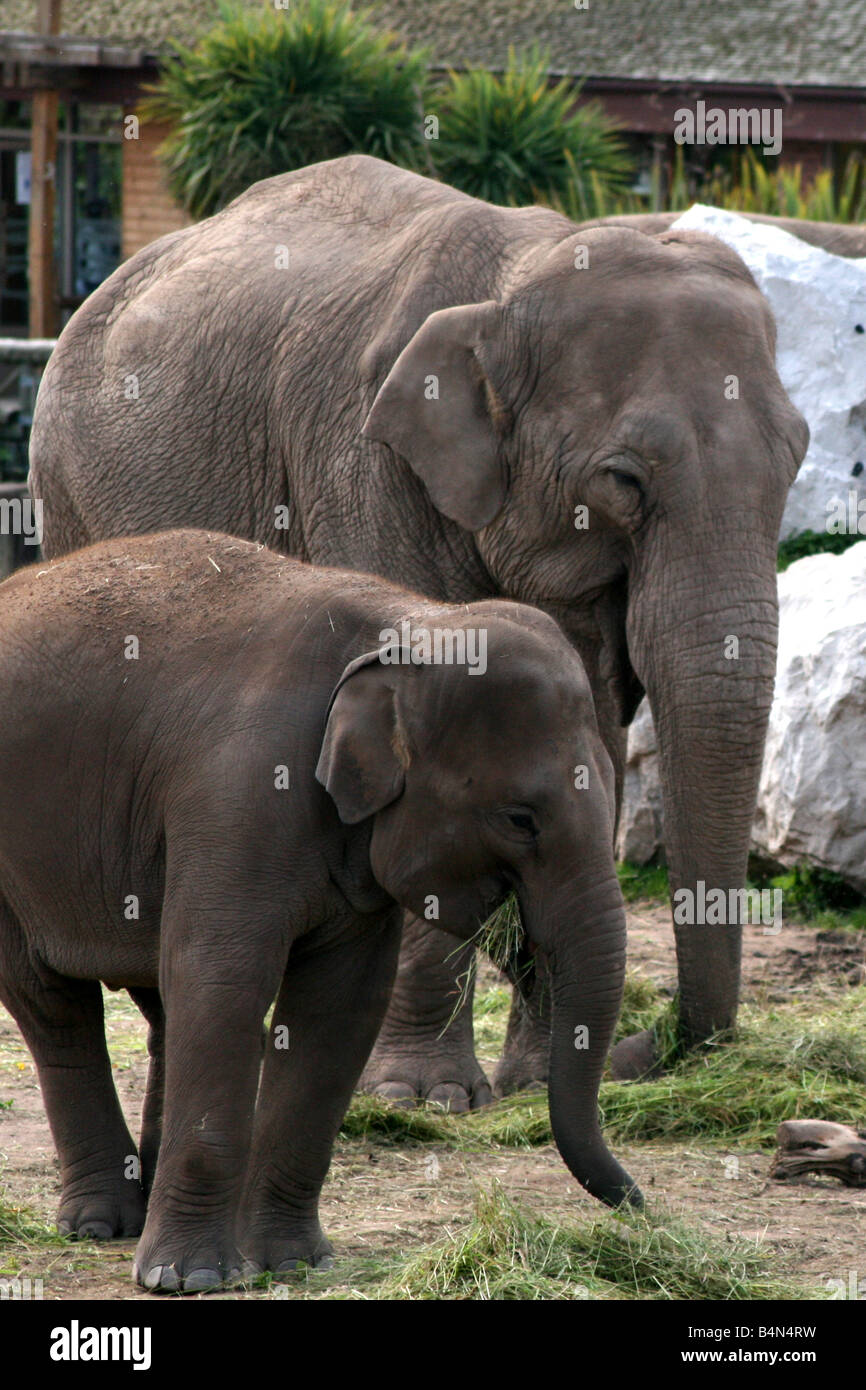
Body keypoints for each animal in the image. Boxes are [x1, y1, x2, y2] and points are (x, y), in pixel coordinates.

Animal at [0, 525, 636, 1284]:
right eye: (520, 820)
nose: (638, 1199)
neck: (412, 621)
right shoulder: (238, 794)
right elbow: (224, 983)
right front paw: (190, 1280)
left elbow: (341, 1007)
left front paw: (290, 1264)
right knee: (54, 1009)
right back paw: (101, 1226)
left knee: (158, 1007)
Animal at [28, 157, 811, 1100]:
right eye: (623, 480)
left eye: (800, 459)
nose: (659, 1048)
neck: (523, 272)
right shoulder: (367, 466)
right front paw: (423, 1093)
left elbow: (588, 734)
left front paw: (531, 1082)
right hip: (67, 491)